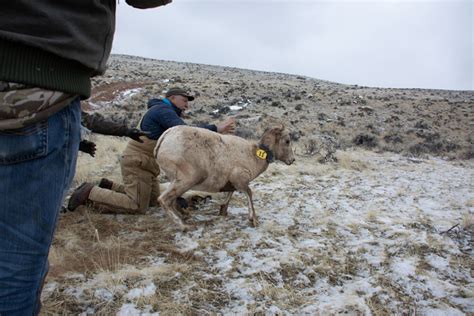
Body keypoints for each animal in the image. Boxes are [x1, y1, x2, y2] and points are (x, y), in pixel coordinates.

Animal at [156, 124, 294, 231]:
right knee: (163, 200)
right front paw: (253, 220)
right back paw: (184, 226)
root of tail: (165, 136)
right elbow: (249, 193)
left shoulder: (232, 182)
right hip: (185, 181)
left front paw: (223, 212)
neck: (255, 156)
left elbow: (230, 194)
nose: (292, 160)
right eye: (287, 141)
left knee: (172, 201)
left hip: (176, 181)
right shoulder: (240, 179)